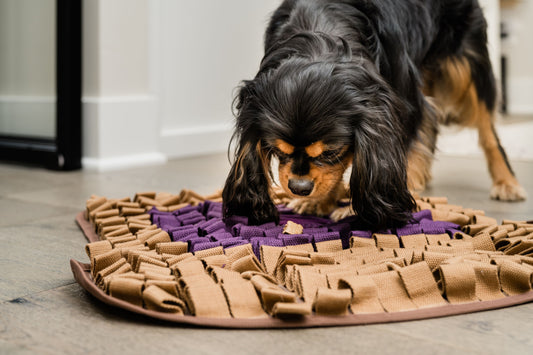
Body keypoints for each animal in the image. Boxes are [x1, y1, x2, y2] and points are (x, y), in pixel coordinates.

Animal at [219, 0, 524, 231]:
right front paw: (320, 201)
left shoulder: (401, 105)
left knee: (487, 129)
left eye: (331, 151)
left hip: (464, 66)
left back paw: (506, 182)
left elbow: (401, 153)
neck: (320, 34)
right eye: (277, 150)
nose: (299, 187)